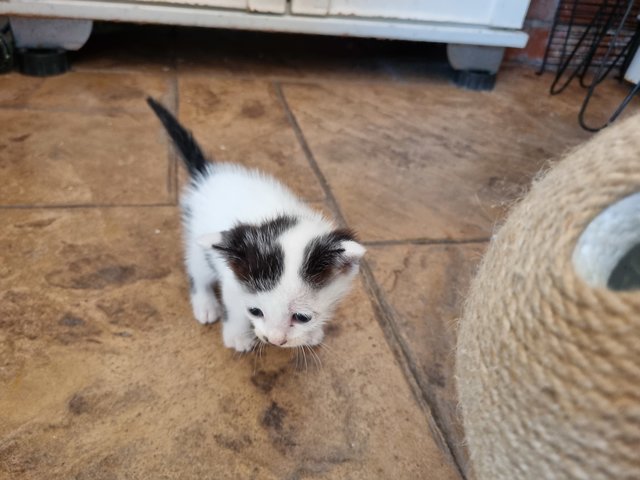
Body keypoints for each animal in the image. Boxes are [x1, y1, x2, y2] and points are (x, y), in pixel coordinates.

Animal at [146, 97, 364, 352]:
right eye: (255, 311)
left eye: (302, 317)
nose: (275, 340)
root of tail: (207, 174)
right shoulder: (232, 280)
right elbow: (234, 307)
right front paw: (238, 335)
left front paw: (311, 333)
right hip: (197, 239)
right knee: (197, 269)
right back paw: (205, 304)